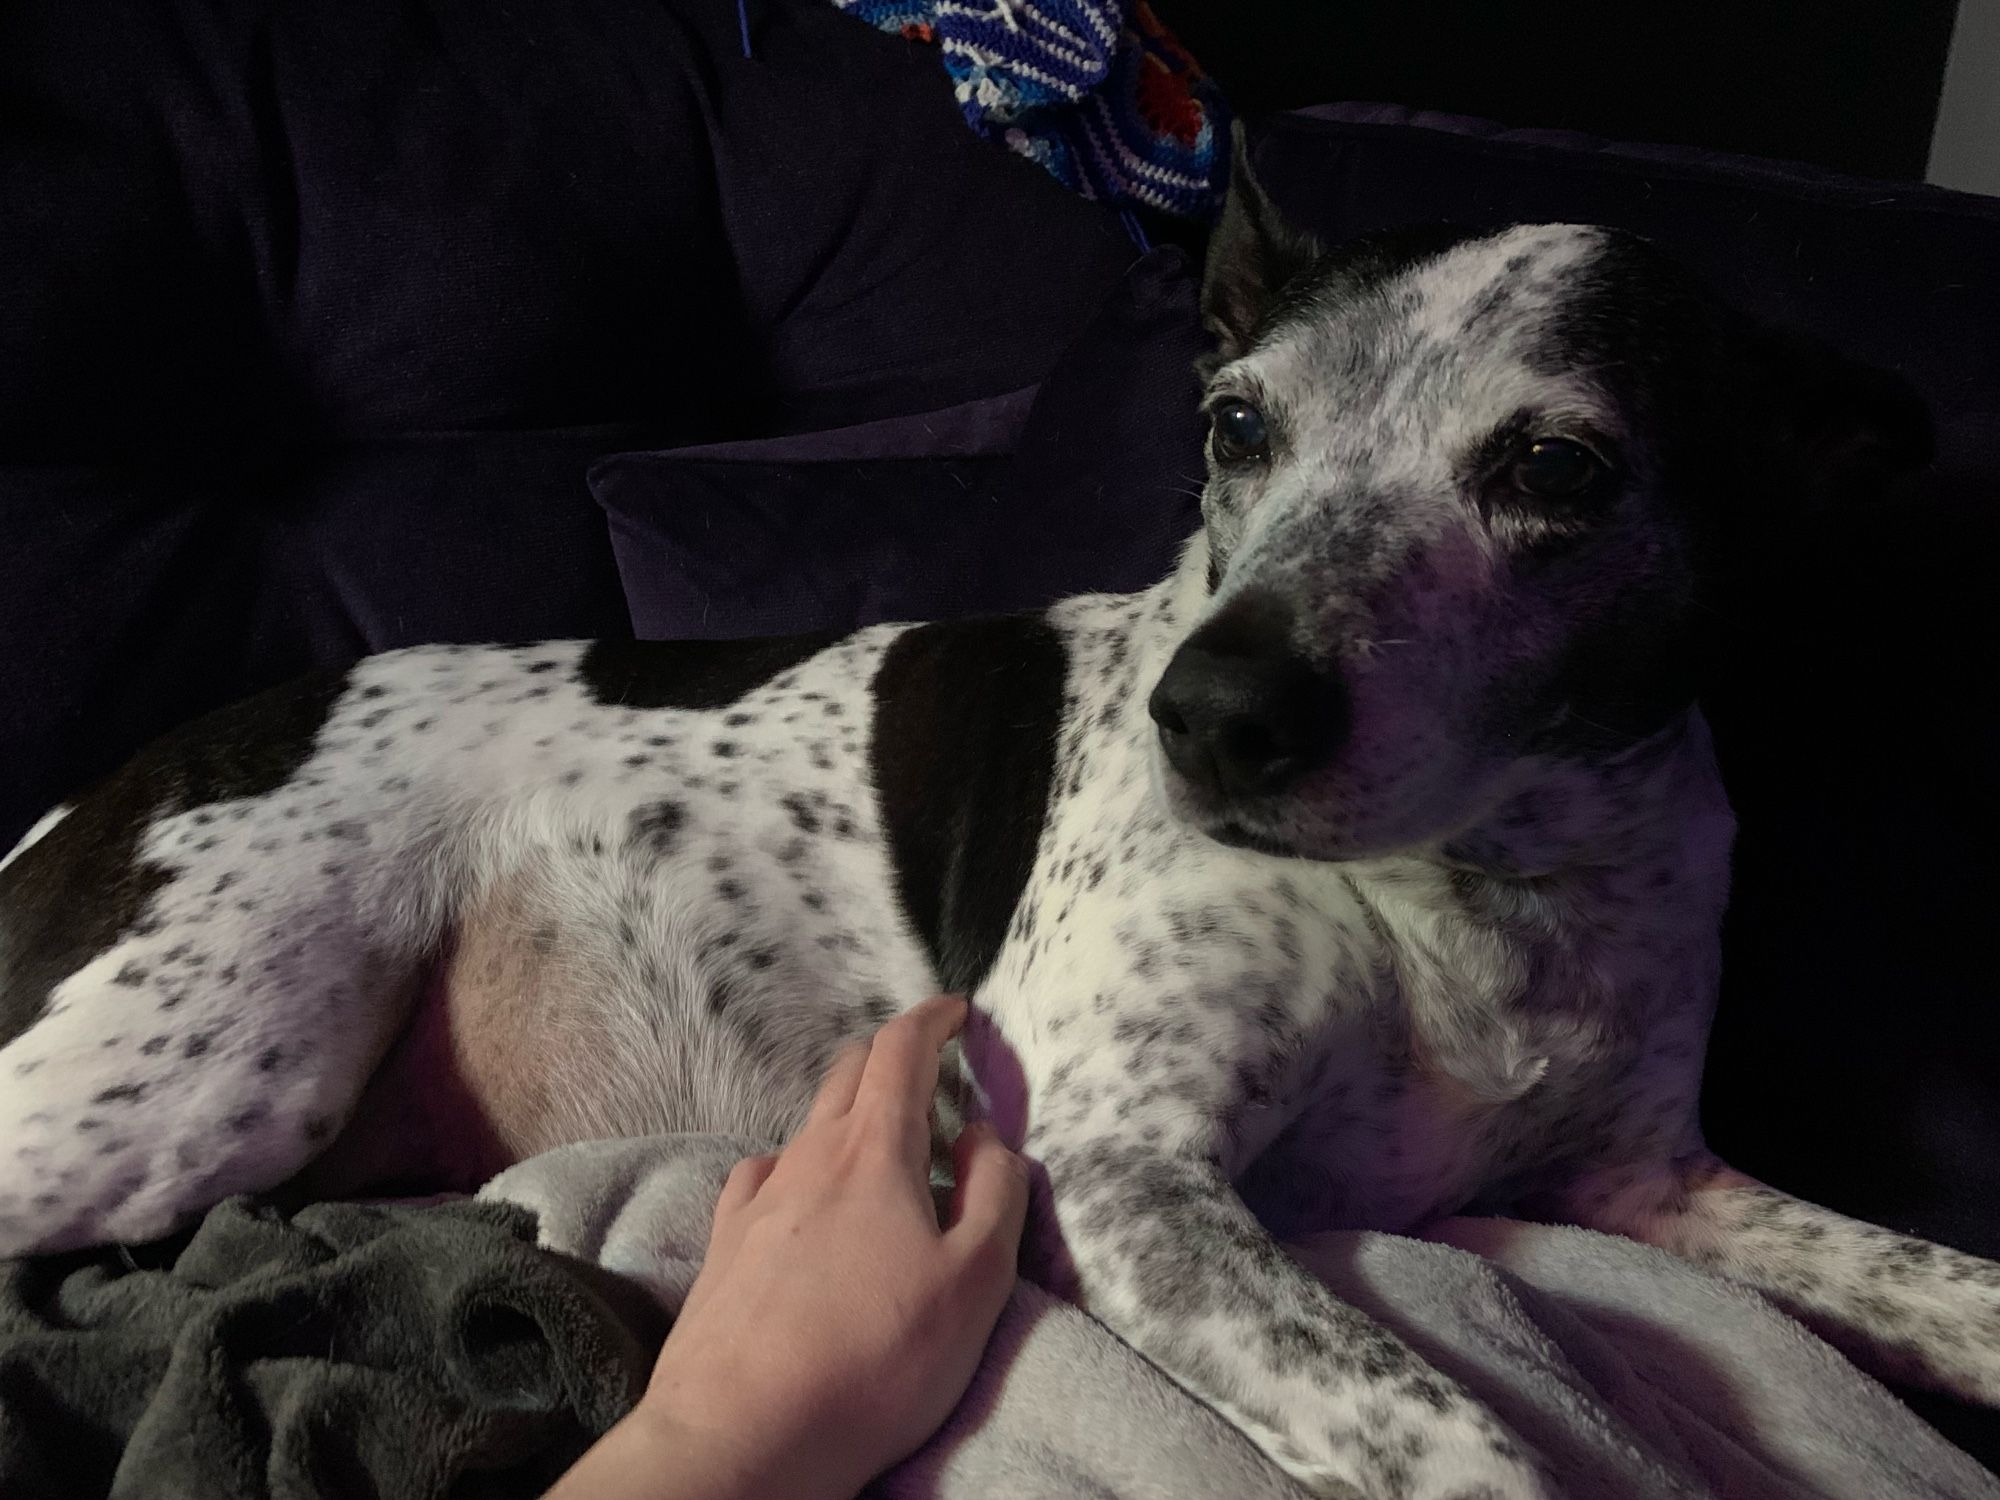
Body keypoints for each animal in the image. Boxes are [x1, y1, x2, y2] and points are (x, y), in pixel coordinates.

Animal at [0, 135, 1984, 1496]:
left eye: (1556, 469)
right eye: (1235, 427)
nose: (1213, 718)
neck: (1476, 882)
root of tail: (83, 801)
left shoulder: (1645, 1184)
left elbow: (1945, 1284)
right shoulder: (1128, 1168)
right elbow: (1468, 1440)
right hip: (195, 1084)